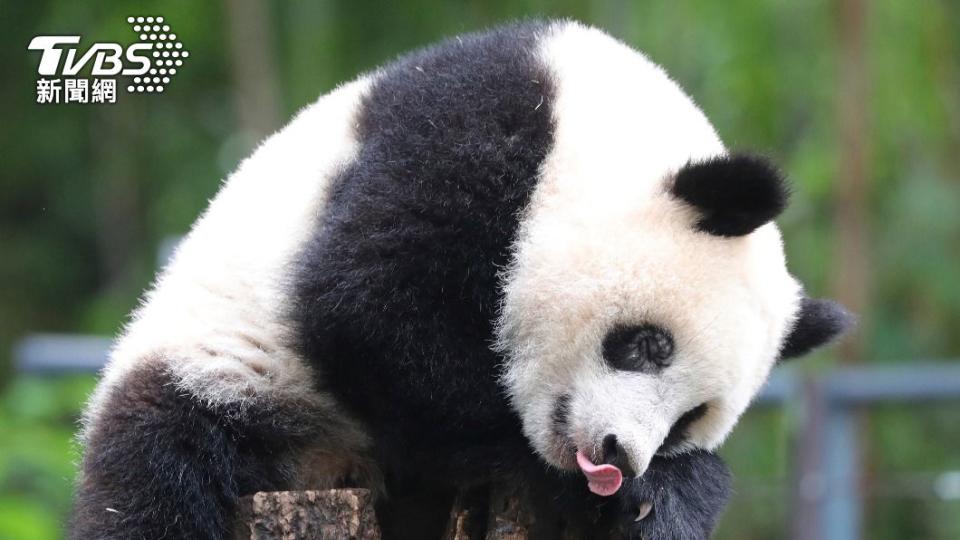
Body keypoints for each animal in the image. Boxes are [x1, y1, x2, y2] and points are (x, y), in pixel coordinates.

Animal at [73, 19, 848, 536]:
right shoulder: (471, 130)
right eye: (647, 345)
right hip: (219, 376)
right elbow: (367, 308)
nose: (617, 458)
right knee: (157, 485)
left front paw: (669, 495)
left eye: (691, 417)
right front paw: (590, 483)